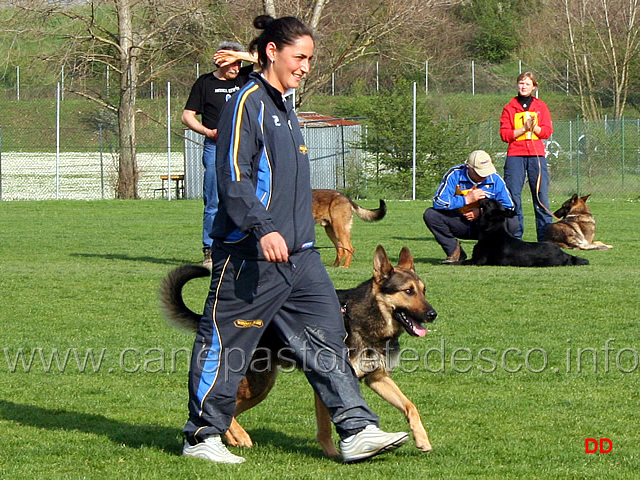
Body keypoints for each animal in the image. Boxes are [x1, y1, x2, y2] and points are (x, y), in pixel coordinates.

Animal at [162, 246, 438, 456]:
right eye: (408, 291)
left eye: (424, 291)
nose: (433, 314)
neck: (365, 317)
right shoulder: (329, 382)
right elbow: (326, 426)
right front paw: (334, 454)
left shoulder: (377, 378)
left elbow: (410, 406)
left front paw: (422, 440)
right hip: (257, 384)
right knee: (220, 408)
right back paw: (235, 436)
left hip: (261, 387)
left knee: (229, 413)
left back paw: (233, 438)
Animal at [462, 198, 592, 266]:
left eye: (488, 202)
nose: (481, 198)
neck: (492, 230)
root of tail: (564, 254)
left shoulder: (478, 261)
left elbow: (458, 262)